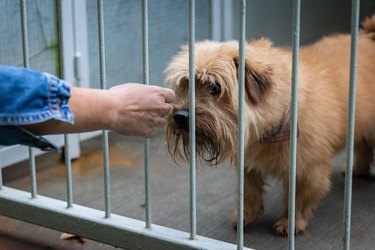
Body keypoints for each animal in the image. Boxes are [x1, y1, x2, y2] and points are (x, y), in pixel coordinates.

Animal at [166, 15, 375, 236]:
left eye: (215, 87)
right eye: (185, 83)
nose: (180, 116)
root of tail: (369, 37)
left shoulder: (307, 170)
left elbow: (299, 199)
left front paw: (291, 223)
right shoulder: (248, 166)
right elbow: (249, 193)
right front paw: (246, 216)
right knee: (364, 145)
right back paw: (358, 169)